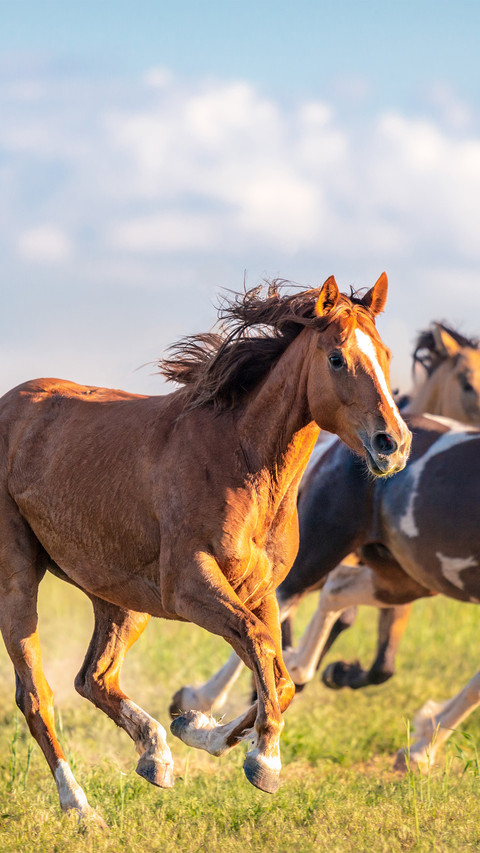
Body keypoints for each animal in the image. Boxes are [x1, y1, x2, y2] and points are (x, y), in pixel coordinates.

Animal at [0, 274, 410, 823]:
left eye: (385, 354)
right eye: (337, 358)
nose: (394, 444)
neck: (240, 462)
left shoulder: (260, 590)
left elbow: (277, 674)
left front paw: (198, 728)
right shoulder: (190, 587)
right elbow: (259, 646)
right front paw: (264, 760)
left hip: (120, 598)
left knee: (94, 678)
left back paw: (155, 754)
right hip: (20, 578)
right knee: (35, 696)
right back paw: (81, 807)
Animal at [170, 323, 480, 742]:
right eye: (466, 382)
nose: (394, 448)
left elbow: (380, 660)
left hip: (399, 575)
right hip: (323, 553)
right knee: (283, 604)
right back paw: (206, 699)